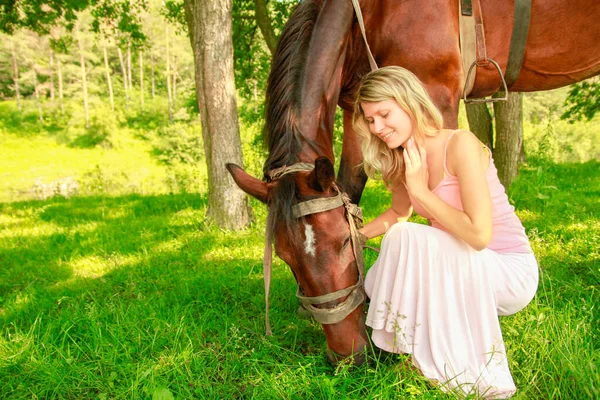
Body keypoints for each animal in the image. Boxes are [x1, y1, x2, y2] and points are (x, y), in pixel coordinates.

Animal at [226, 0, 600, 364]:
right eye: (285, 258)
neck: (374, 11)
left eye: (343, 242)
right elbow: (352, 189)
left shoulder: (438, 99)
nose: (347, 356)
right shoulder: (357, 111)